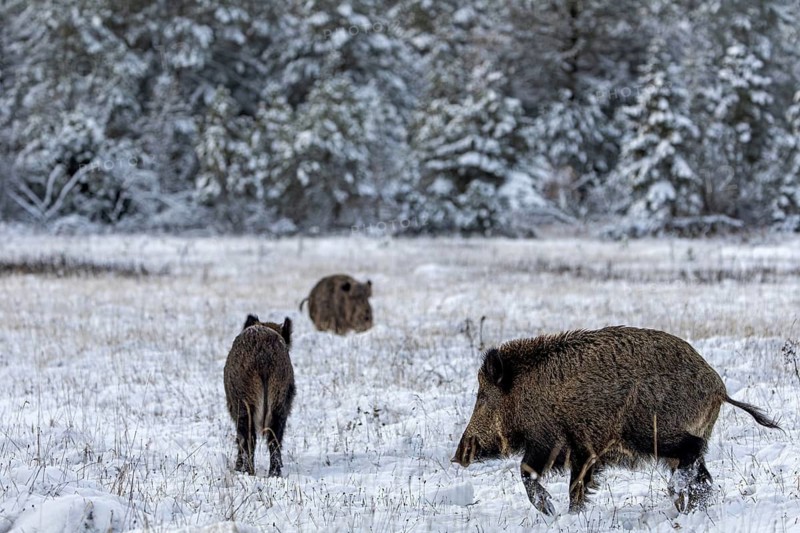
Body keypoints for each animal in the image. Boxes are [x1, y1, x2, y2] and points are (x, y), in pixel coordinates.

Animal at [452, 326, 780, 514]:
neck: (523, 395)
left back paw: (676, 495)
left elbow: (530, 472)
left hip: (652, 431)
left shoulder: (553, 442)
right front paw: (570, 515)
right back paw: (689, 510)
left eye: (482, 397)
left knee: (693, 452)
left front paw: (554, 512)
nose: (457, 457)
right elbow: (572, 484)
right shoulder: (582, 452)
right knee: (702, 475)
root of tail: (719, 389)